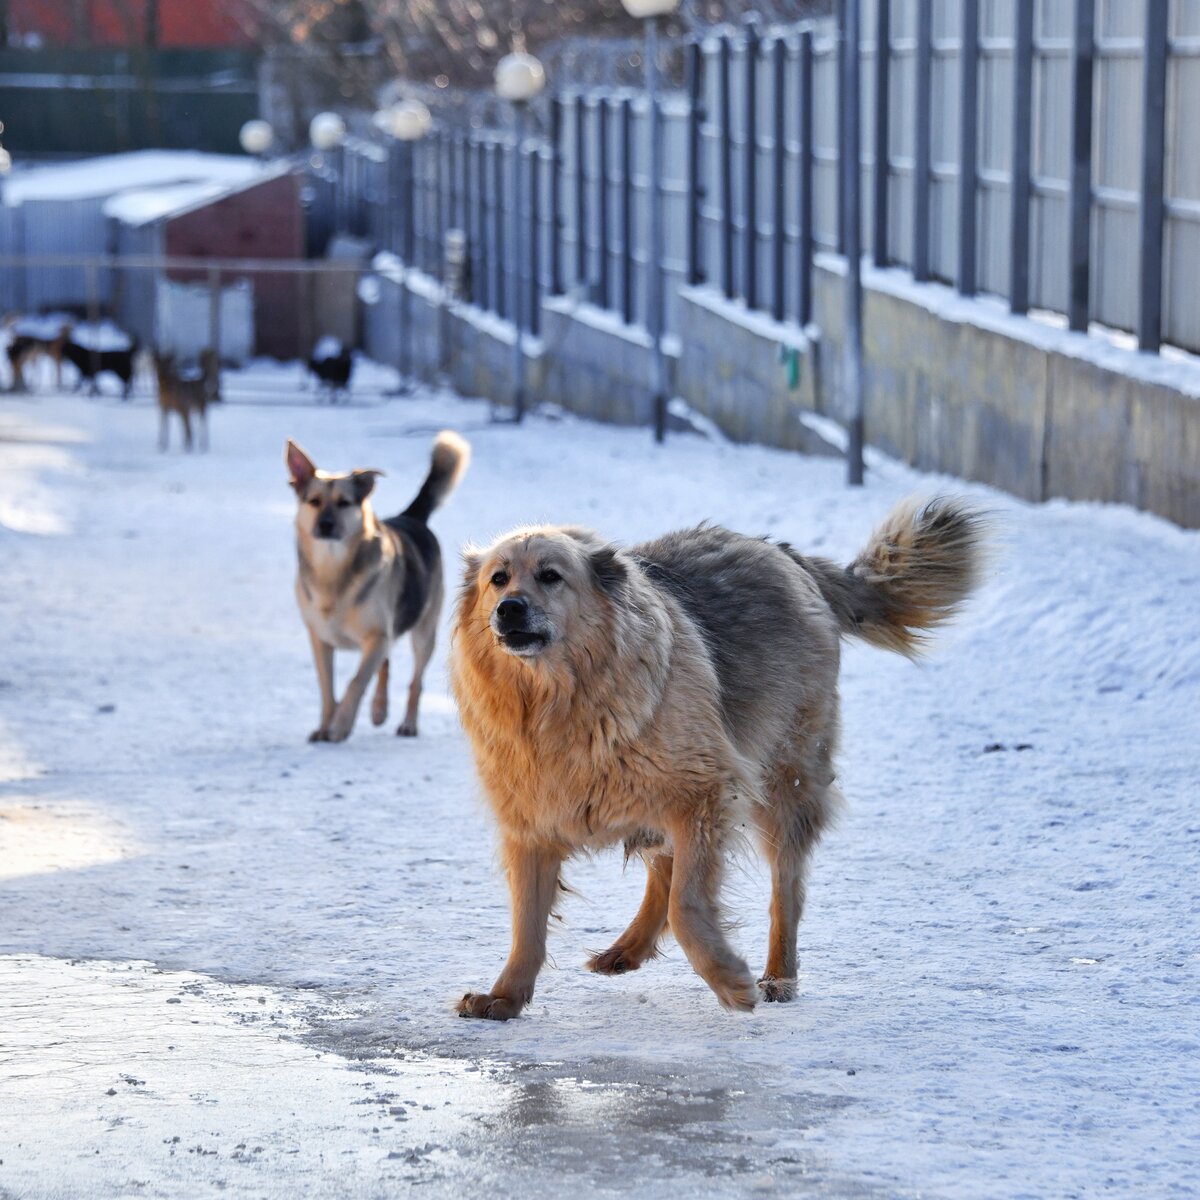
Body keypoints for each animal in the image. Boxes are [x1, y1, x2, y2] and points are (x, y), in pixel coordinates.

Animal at [284, 432, 468, 744]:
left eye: (344, 503)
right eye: (314, 501)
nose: (325, 525)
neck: (334, 572)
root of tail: (411, 517)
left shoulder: (376, 636)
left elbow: (356, 681)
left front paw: (340, 726)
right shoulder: (321, 639)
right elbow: (327, 688)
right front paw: (326, 724)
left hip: (423, 631)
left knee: (415, 681)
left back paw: (407, 724)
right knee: (386, 665)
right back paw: (379, 710)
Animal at [451, 492, 984, 1017]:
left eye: (550, 576)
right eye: (498, 579)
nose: (509, 609)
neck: (554, 705)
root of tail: (782, 551)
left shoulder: (704, 794)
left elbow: (687, 905)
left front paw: (731, 983)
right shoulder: (532, 824)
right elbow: (527, 923)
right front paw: (505, 996)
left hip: (784, 783)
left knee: (784, 890)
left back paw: (778, 975)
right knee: (663, 868)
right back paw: (628, 949)